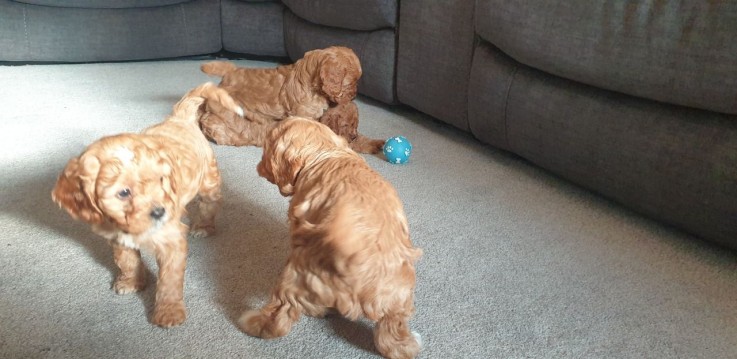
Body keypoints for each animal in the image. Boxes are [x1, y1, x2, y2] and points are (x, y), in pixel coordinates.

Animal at [51, 82, 242, 330]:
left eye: (161, 180)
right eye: (124, 192)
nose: (161, 211)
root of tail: (179, 117)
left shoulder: (171, 240)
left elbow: (169, 281)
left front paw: (168, 312)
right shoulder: (119, 238)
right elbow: (127, 261)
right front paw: (131, 282)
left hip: (208, 180)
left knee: (209, 204)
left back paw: (203, 227)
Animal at [242, 116, 422, 358]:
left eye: (266, 151)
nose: (258, 167)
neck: (324, 152)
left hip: (297, 275)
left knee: (282, 311)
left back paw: (256, 323)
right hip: (399, 301)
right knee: (392, 336)